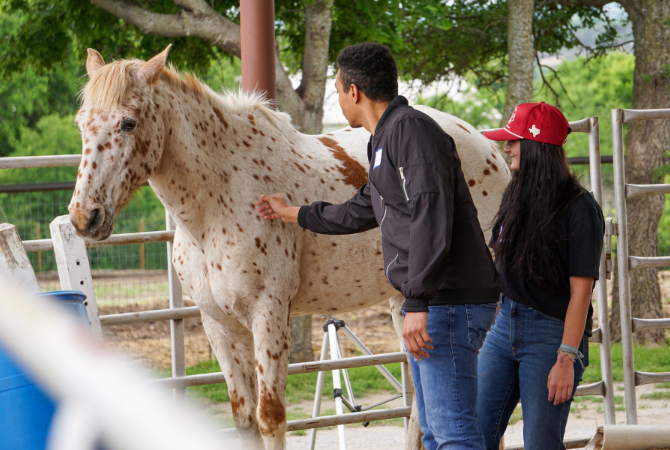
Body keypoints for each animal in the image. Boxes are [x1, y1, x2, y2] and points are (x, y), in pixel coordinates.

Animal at [68, 46, 512, 450]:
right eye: (81, 124)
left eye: (128, 122)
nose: (84, 215)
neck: (216, 203)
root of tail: (490, 150)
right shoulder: (218, 324)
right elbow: (244, 419)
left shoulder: (267, 313)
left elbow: (271, 416)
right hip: (402, 304)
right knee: (422, 402)